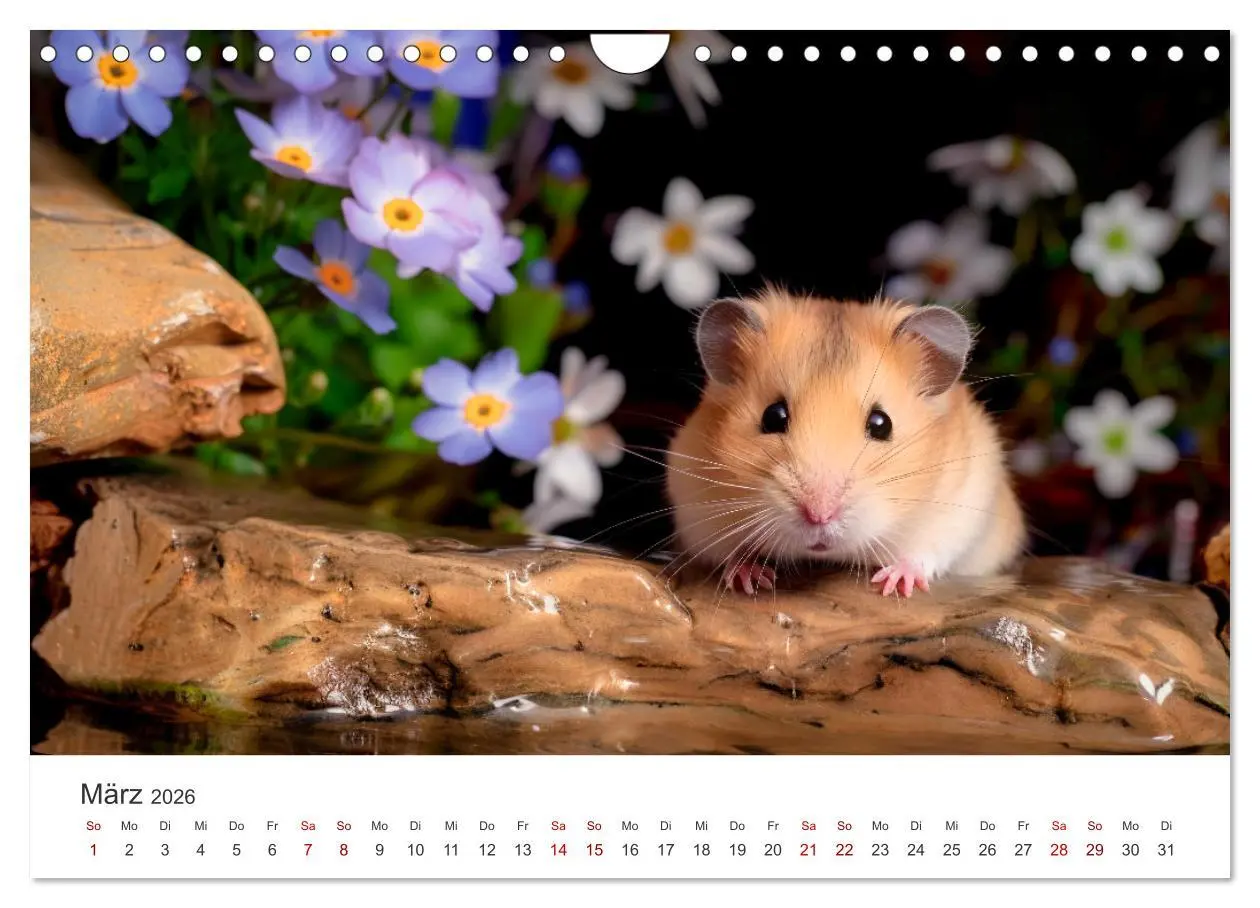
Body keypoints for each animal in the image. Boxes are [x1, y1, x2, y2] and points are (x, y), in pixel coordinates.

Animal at [665, 288, 1026, 598]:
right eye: (773, 416)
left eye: (882, 424)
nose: (819, 516)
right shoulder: (694, 506)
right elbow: (727, 551)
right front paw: (749, 578)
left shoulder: (963, 504)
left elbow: (925, 550)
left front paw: (894, 583)